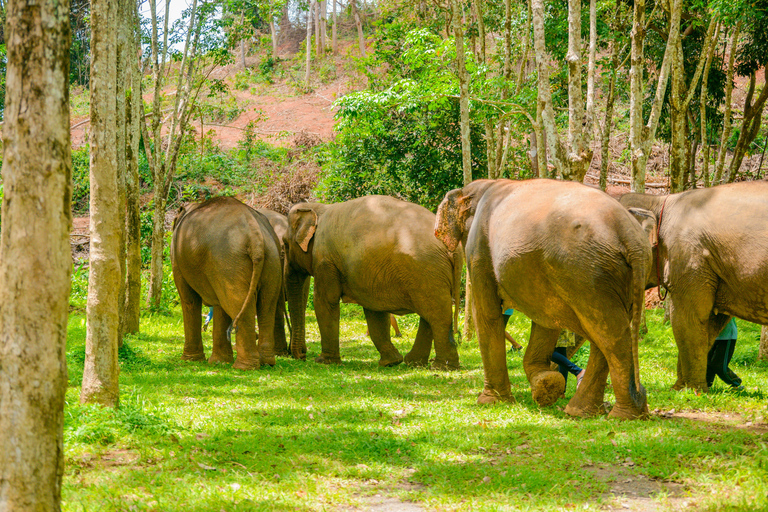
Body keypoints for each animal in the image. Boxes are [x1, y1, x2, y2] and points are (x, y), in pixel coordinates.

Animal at [171, 196, 285, 369]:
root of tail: (255, 235)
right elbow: (220, 306)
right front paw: (219, 362)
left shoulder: (178, 260)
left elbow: (189, 300)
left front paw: (190, 360)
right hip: (271, 260)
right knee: (267, 305)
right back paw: (266, 362)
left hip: (229, 260)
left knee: (238, 303)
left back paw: (244, 367)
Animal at [284, 195, 463, 368]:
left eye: (285, 243)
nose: (302, 356)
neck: (318, 208)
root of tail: (454, 249)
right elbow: (375, 310)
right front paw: (390, 362)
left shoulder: (325, 260)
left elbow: (325, 301)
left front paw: (323, 361)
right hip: (431, 273)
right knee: (431, 314)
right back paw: (415, 363)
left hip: (426, 270)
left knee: (437, 315)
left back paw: (441, 367)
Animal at [434, 179, 654, 419]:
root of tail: (631, 237)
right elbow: (546, 319)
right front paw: (547, 386)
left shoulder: (480, 249)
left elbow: (487, 314)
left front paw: (490, 402)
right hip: (615, 276)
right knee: (607, 334)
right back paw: (583, 411)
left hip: (587, 271)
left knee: (610, 333)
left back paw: (621, 415)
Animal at [619, 181, 768, 392]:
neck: (658, 201)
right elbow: (710, 324)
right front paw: (680, 388)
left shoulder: (689, 257)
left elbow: (687, 319)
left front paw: (691, 390)